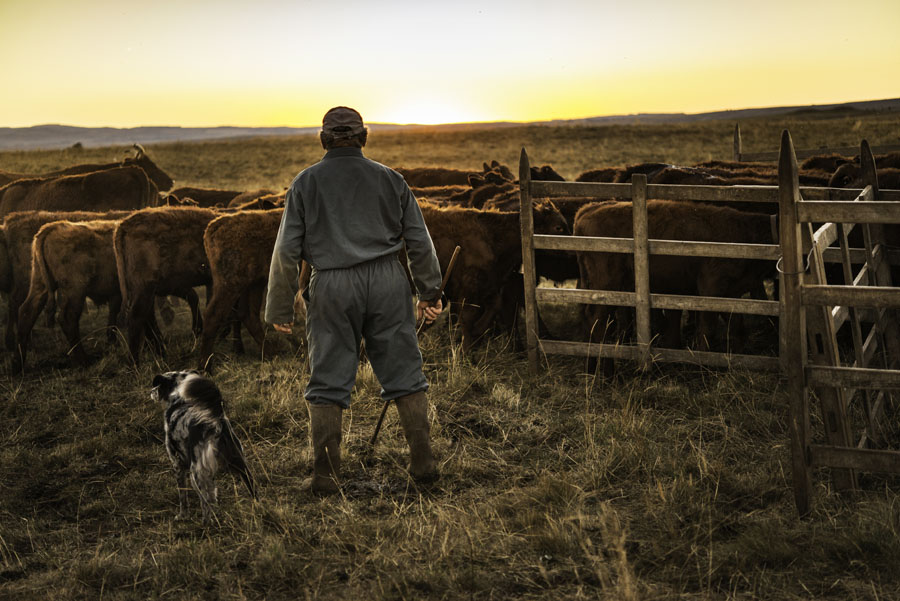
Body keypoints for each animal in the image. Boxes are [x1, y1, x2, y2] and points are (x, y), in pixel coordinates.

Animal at [115, 206, 219, 364]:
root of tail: (124, 224)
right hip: (145, 288)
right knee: (136, 317)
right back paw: (134, 363)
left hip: (145, 289)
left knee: (147, 317)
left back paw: (160, 350)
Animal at [150, 368, 256, 516]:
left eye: (157, 384)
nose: (151, 391)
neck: (179, 400)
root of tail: (216, 419)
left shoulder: (178, 464)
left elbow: (183, 496)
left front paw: (182, 516)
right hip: (239, 464)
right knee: (252, 489)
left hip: (197, 474)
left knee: (206, 505)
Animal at [576, 199, 772, 372]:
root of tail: (589, 209)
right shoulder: (711, 287)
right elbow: (707, 329)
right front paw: (703, 366)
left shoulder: (731, 294)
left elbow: (737, 327)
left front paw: (737, 361)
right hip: (608, 286)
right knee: (599, 322)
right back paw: (608, 373)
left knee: (589, 319)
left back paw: (590, 369)